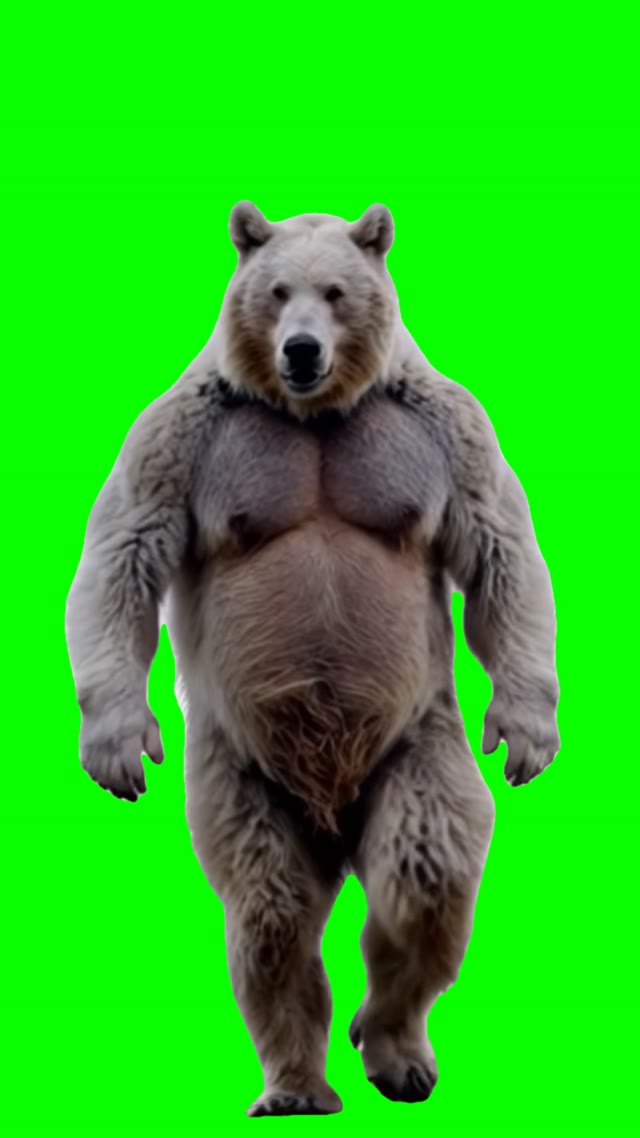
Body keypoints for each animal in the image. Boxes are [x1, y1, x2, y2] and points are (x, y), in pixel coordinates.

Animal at [65, 202, 560, 1117]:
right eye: (275, 291)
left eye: (334, 291)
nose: (301, 349)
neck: (316, 413)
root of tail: (330, 810)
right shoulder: (185, 439)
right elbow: (123, 552)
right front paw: (118, 745)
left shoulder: (440, 432)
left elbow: (500, 548)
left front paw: (525, 733)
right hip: (244, 769)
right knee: (271, 908)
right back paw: (296, 1081)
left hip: (411, 737)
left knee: (425, 860)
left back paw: (394, 1045)